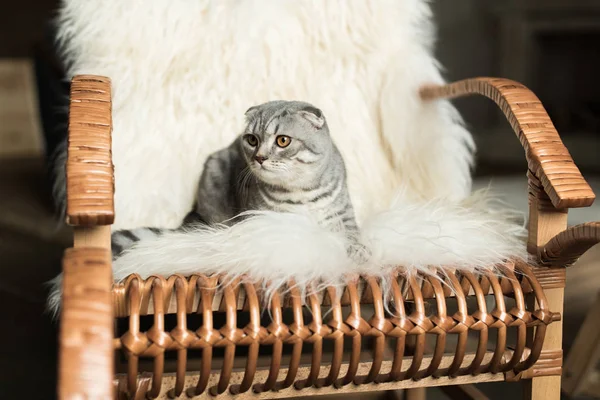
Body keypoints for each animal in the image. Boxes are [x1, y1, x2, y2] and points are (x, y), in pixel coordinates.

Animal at [110, 100, 358, 256]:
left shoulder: (343, 212)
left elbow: (354, 237)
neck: (299, 191)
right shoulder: (261, 218)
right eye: (251, 139)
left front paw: (359, 257)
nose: (259, 157)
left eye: (283, 141)